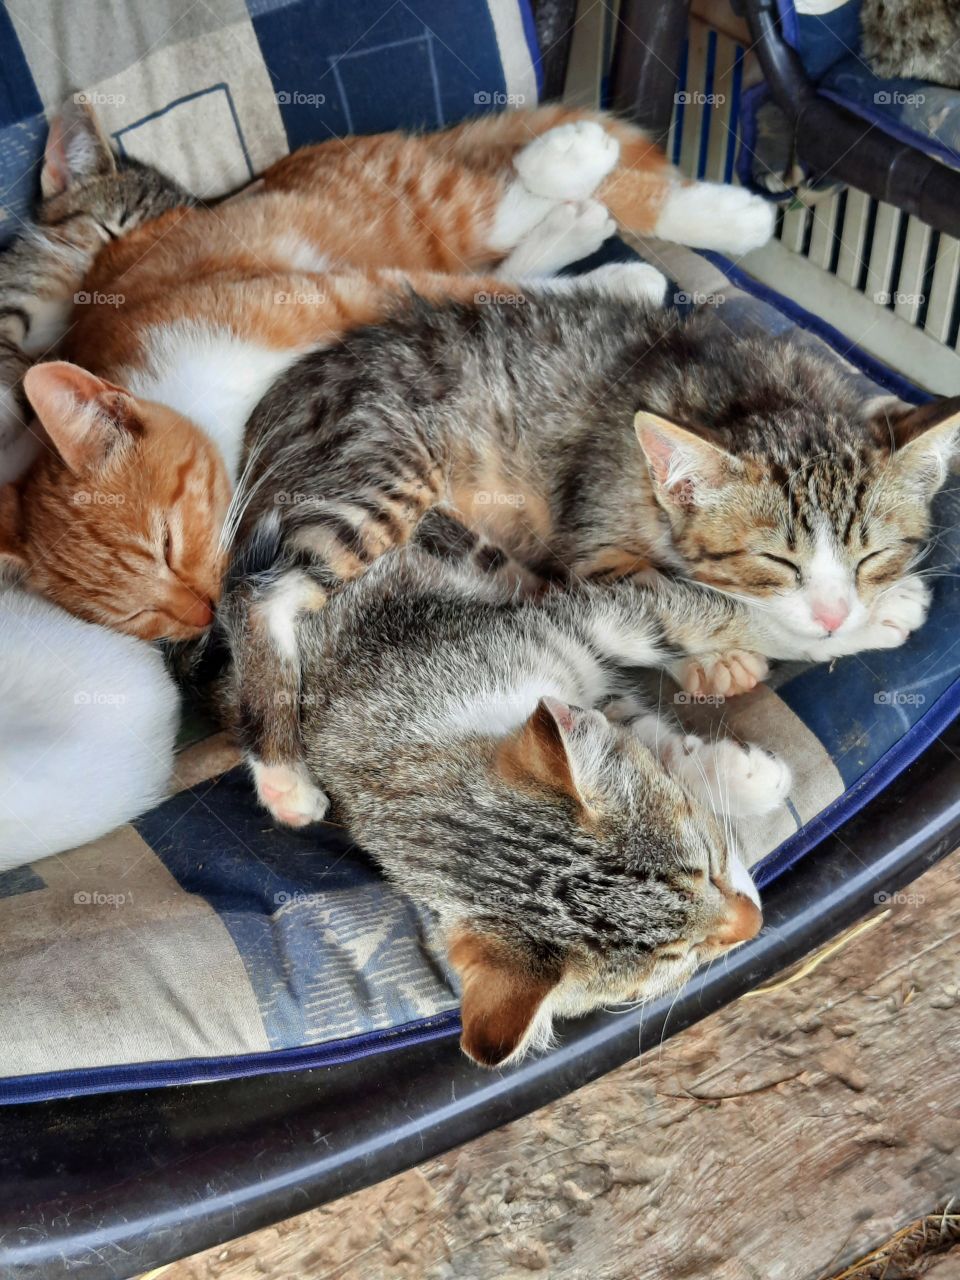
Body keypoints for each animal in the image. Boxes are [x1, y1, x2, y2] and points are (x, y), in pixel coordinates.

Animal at [217, 270, 960, 819]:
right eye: (775, 561)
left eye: (873, 556)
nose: (838, 611)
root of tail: (268, 409)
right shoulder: (595, 542)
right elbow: (690, 600)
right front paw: (759, 647)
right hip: (383, 467)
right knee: (260, 593)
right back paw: (284, 772)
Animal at [221, 522, 793, 1070]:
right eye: (676, 960)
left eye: (706, 867)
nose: (755, 922)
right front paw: (742, 775)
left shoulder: (561, 628)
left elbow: (686, 617)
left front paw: (802, 632)